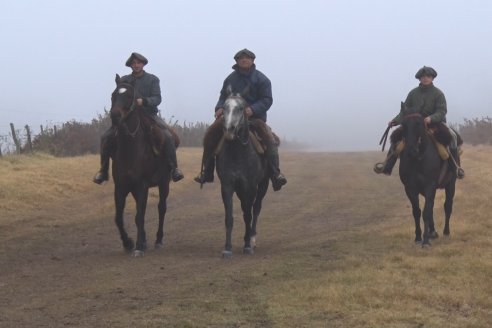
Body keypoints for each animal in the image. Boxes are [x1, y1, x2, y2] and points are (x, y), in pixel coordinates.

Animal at [109, 74, 171, 256]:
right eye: (113, 95)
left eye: (129, 96)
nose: (115, 116)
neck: (131, 149)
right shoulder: (121, 186)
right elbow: (119, 217)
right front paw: (129, 242)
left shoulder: (141, 185)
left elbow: (139, 216)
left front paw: (137, 246)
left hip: (164, 184)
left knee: (161, 208)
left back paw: (158, 240)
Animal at [215, 92, 270, 258]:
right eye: (224, 107)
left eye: (240, 108)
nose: (229, 130)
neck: (237, 154)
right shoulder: (227, 186)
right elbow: (229, 217)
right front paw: (227, 248)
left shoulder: (250, 187)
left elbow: (248, 215)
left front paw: (247, 245)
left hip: (263, 186)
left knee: (256, 208)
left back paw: (252, 238)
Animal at [398, 102, 456, 246]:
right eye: (404, 123)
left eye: (418, 123)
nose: (411, 151)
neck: (419, 158)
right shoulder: (410, 188)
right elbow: (417, 211)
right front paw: (418, 237)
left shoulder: (430, 186)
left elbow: (426, 212)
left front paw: (425, 241)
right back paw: (433, 232)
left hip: (451, 185)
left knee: (447, 206)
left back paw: (446, 232)